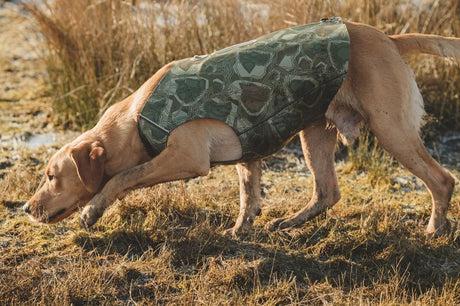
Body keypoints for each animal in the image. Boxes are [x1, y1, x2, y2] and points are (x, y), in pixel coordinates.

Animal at [24, 19, 456, 238]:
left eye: (51, 176)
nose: (25, 208)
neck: (137, 117)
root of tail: (389, 36)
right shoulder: (247, 154)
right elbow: (249, 195)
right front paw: (241, 229)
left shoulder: (186, 157)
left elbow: (122, 178)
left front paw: (92, 211)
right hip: (314, 130)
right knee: (327, 192)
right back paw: (290, 223)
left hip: (391, 129)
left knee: (443, 180)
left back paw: (435, 228)